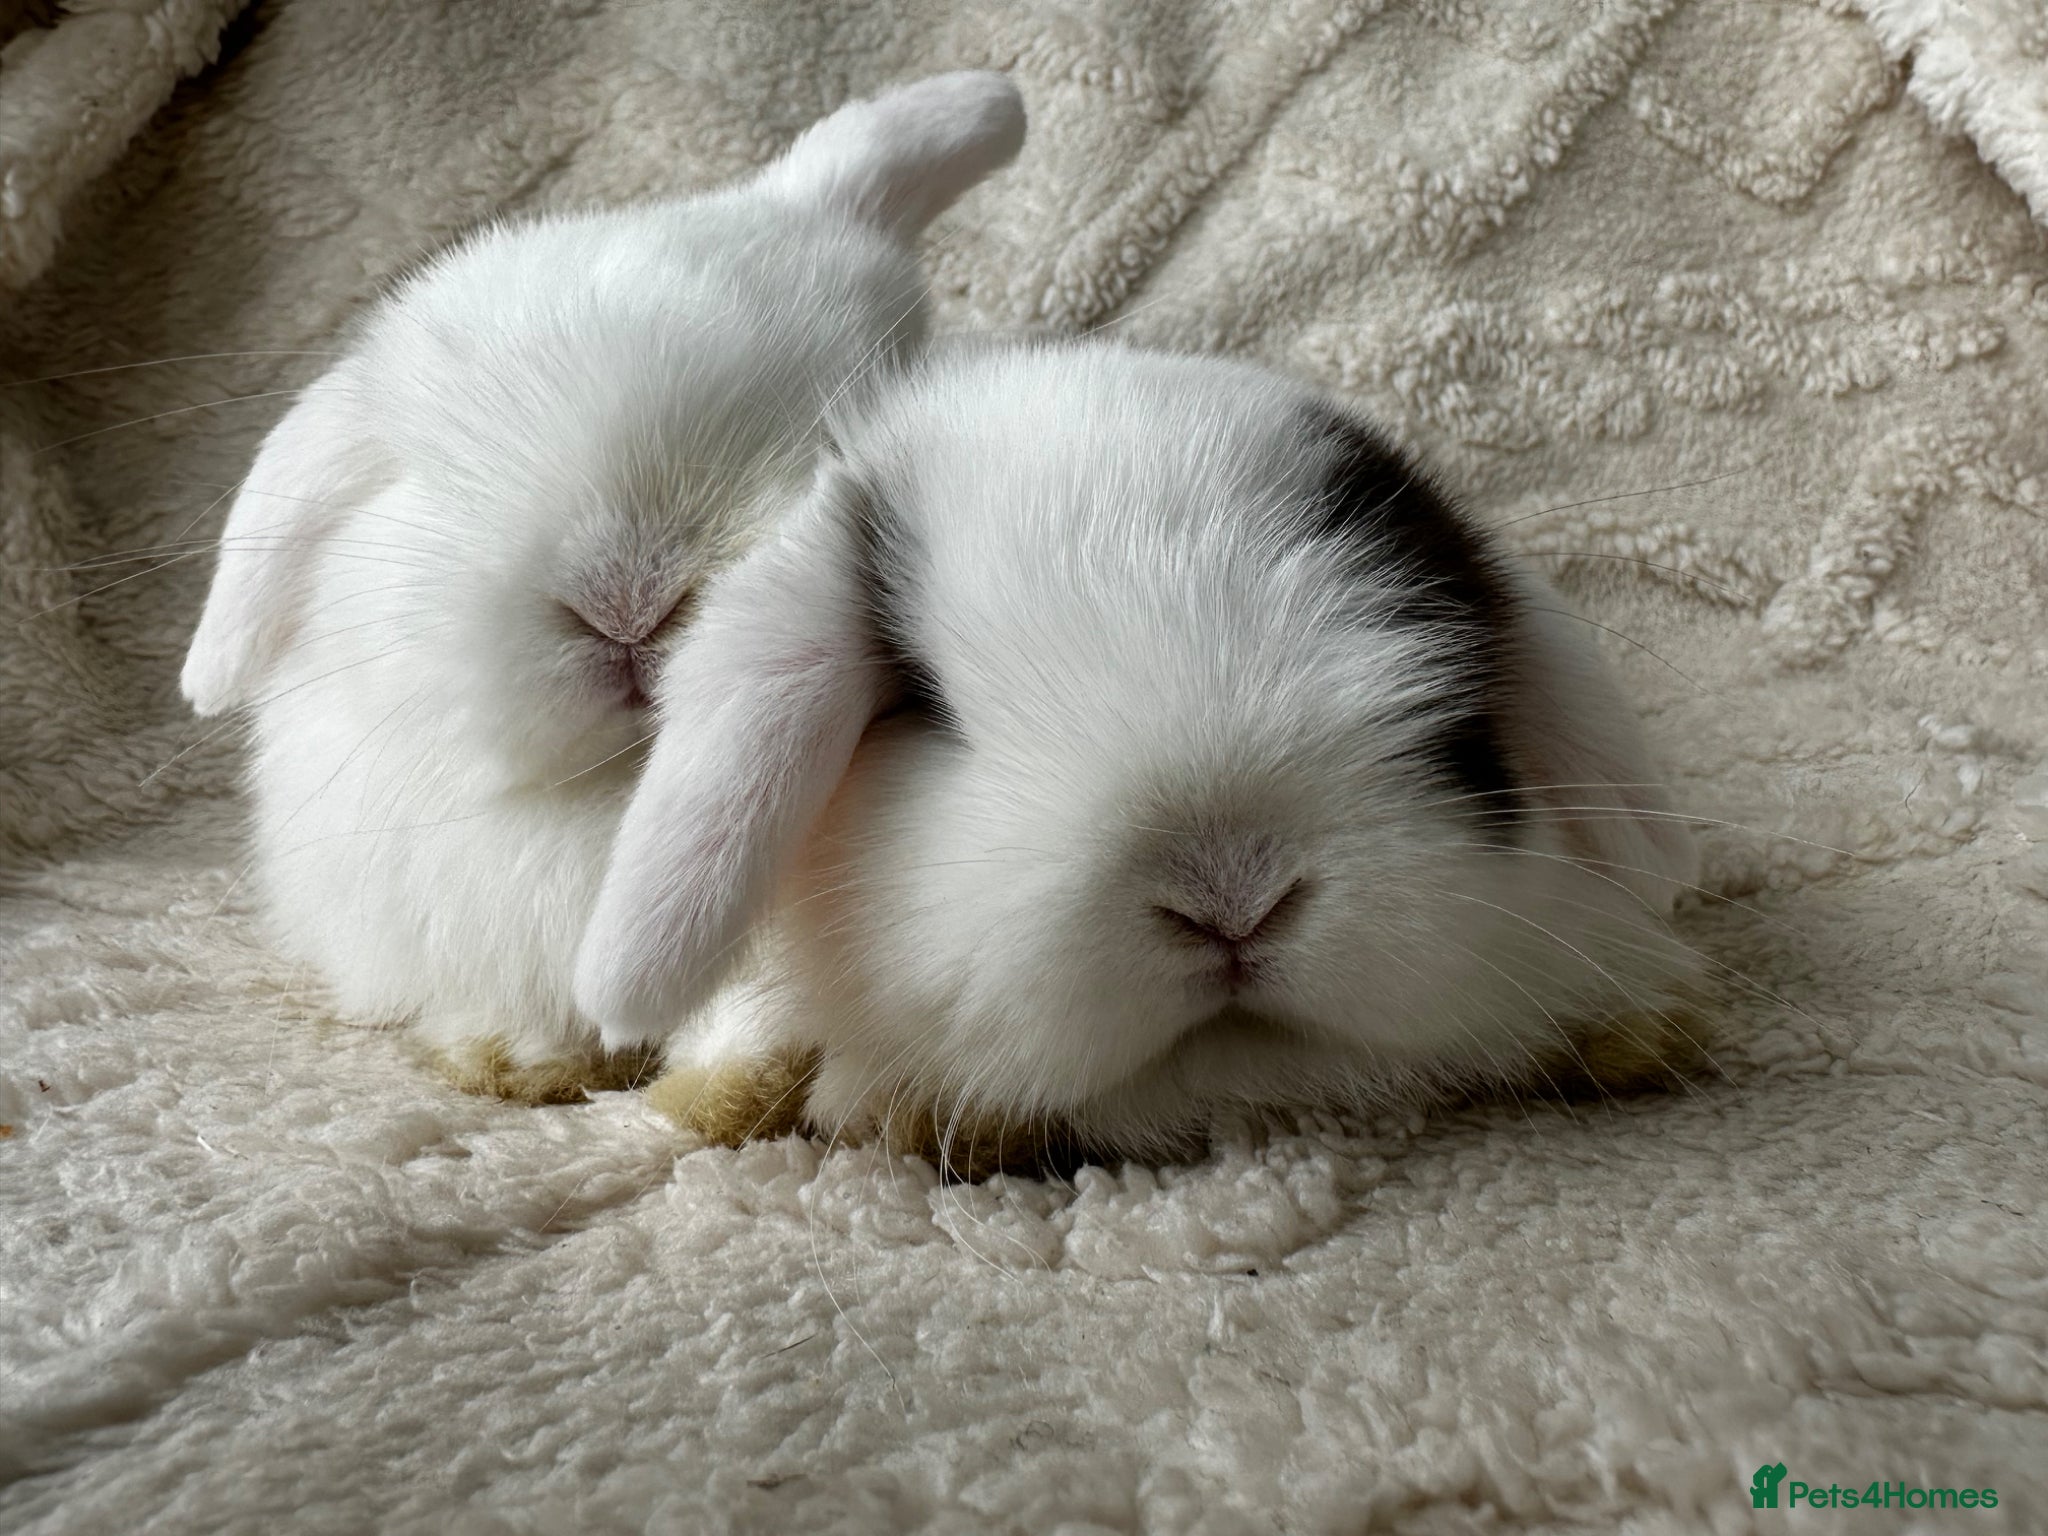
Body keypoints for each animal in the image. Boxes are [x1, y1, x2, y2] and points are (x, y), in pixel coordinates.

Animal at [178, 72, 1028, 1100]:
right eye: (438, 473)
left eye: (833, 429)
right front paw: (509, 1060)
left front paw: (730, 1089)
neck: (607, 803)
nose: (628, 601)